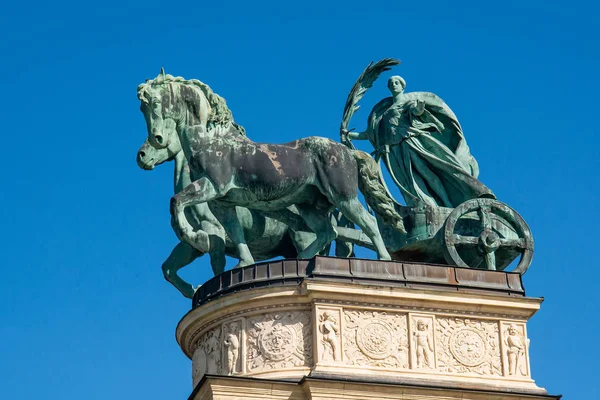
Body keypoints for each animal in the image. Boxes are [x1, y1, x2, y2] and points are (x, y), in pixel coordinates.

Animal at [138, 70, 406, 260]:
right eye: (142, 107)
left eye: (155, 101)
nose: (154, 142)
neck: (211, 139)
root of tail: (348, 151)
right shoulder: (222, 202)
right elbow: (236, 235)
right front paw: (244, 264)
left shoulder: (212, 186)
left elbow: (176, 201)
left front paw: (193, 235)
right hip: (309, 206)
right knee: (328, 232)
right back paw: (303, 259)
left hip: (343, 196)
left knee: (369, 223)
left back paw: (384, 261)